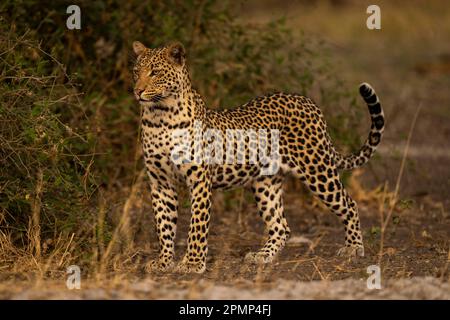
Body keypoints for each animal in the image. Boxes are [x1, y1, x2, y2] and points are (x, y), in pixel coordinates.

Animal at [132, 41, 384, 274]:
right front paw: (163, 261)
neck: (160, 116)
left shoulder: (200, 180)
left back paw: (353, 248)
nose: (137, 90)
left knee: (349, 204)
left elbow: (197, 224)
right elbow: (164, 225)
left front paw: (193, 263)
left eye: (155, 72)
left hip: (317, 170)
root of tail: (308, 102)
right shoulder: (160, 182)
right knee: (281, 226)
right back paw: (263, 256)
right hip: (266, 184)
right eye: (136, 71)